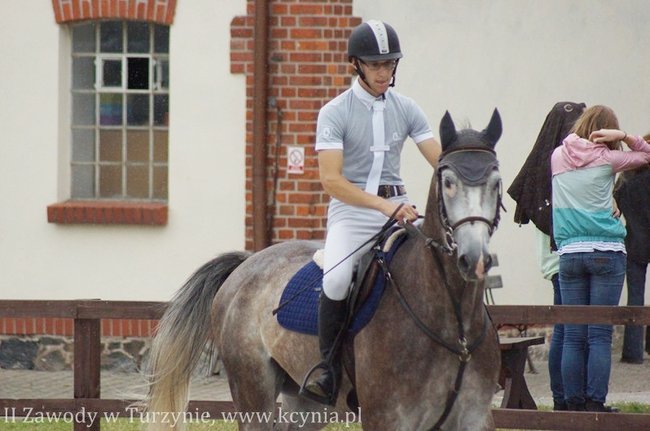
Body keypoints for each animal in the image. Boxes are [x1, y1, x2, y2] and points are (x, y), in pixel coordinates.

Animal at [143, 109, 504, 431]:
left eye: (497, 183)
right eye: (448, 182)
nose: (474, 259)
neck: (452, 323)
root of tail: (247, 263)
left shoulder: (472, 419)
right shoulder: (386, 417)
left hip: (306, 404)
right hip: (252, 392)